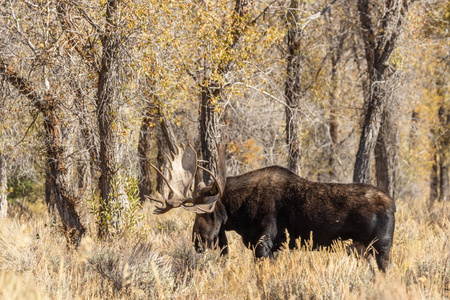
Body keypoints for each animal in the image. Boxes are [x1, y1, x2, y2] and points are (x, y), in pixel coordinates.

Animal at [148, 145, 394, 272]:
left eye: (206, 213)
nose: (198, 242)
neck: (240, 213)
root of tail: (393, 205)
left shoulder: (263, 243)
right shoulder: (274, 247)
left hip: (381, 248)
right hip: (363, 249)